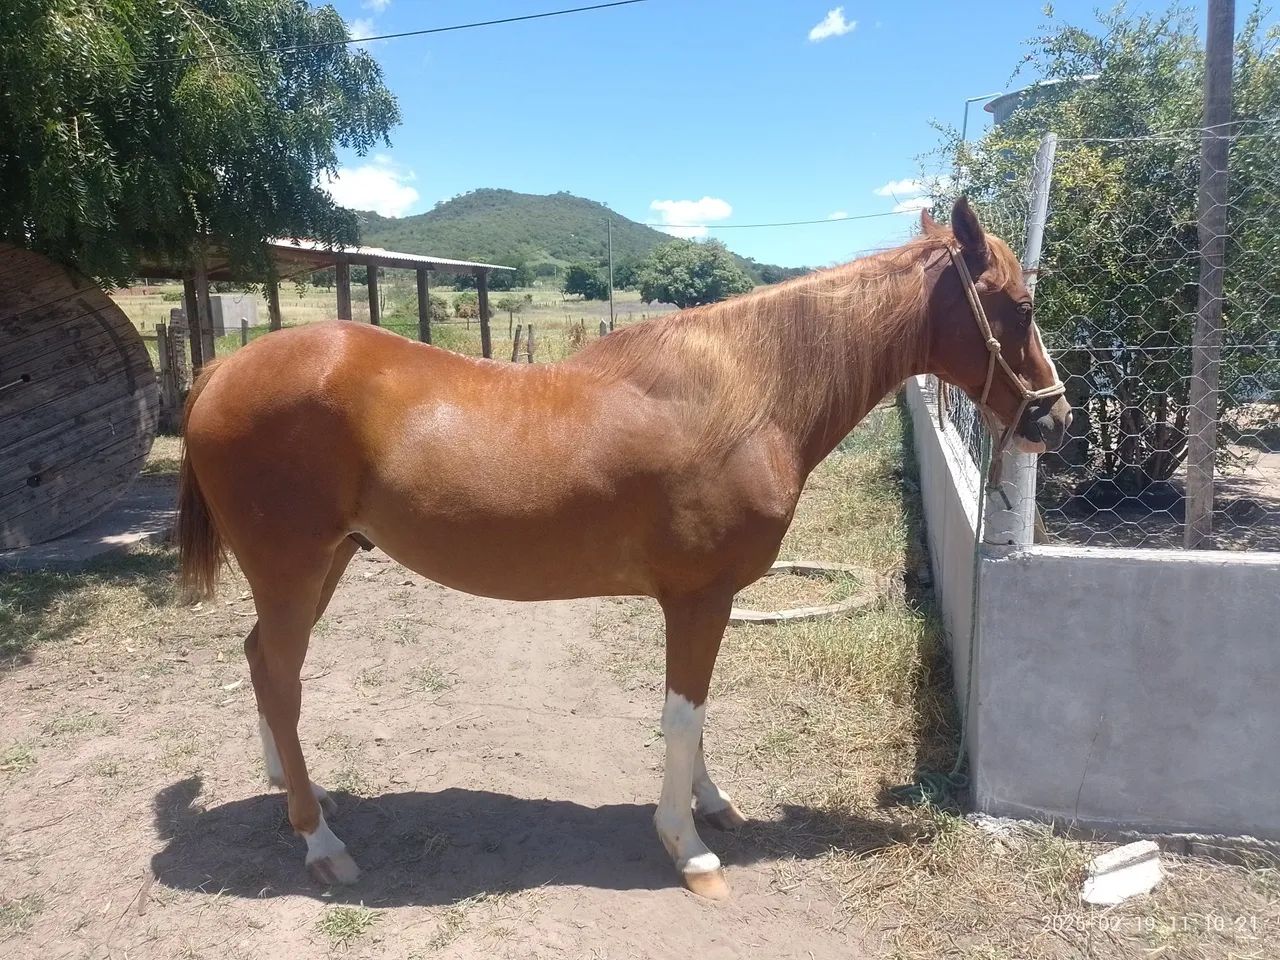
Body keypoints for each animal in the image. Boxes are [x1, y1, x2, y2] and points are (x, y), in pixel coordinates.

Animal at [176, 199, 1069, 900]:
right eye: (1021, 306)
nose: (1055, 419)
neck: (748, 396)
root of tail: (221, 370)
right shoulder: (698, 598)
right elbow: (681, 717)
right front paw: (688, 847)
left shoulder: (710, 602)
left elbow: (699, 715)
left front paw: (712, 804)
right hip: (293, 568)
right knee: (279, 676)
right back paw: (320, 841)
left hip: (324, 563)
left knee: (264, 664)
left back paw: (298, 791)